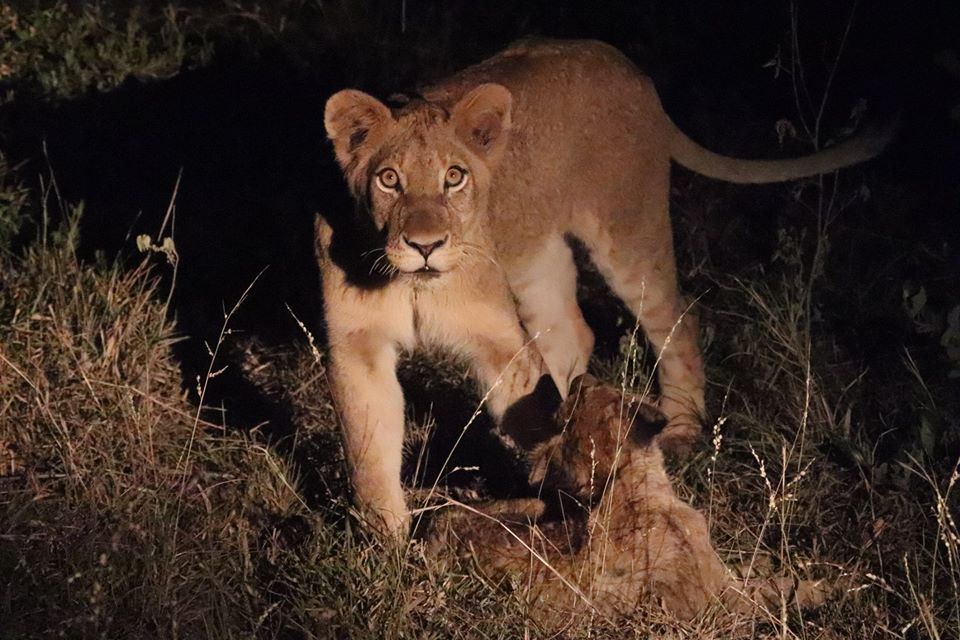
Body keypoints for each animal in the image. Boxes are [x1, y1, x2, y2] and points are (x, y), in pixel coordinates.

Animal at [318, 36, 888, 536]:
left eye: (454, 177)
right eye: (388, 180)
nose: (425, 245)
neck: (414, 284)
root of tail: (621, 63)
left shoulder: (499, 342)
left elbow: (529, 417)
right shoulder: (357, 346)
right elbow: (370, 452)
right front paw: (386, 546)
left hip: (629, 237)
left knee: (678, 319)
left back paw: (680, 430)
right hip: (535, 261)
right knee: (575, 335)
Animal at [424, 372, 836, 628]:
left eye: (595, 393)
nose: (580, 377)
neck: (630, 485)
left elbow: (769, 578)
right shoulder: (719, 601)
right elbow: (775, 590)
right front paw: (828, 590)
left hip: (525, 509)